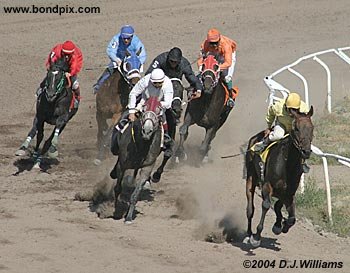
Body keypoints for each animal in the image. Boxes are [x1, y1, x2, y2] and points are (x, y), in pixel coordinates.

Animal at [110, 92, 163, 222]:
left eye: (159, 109)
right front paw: (116, 211)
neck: (142, 145)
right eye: (144, 108)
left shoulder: (147, 167)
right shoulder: (123, 164)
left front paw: (128, 217)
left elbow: (136, 193)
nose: (147, 131)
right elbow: (118, 188)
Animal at [243, 106, 314, 246]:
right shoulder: (267, 185)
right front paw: (257, 236)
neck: (287, 165)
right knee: (250, 209)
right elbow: (266, 205)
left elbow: (290, 216)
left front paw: (280, 225)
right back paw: (249, 234)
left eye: (312, 128)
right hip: (251, 176)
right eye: (296, 128)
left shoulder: (288, 192)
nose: (306, 151)